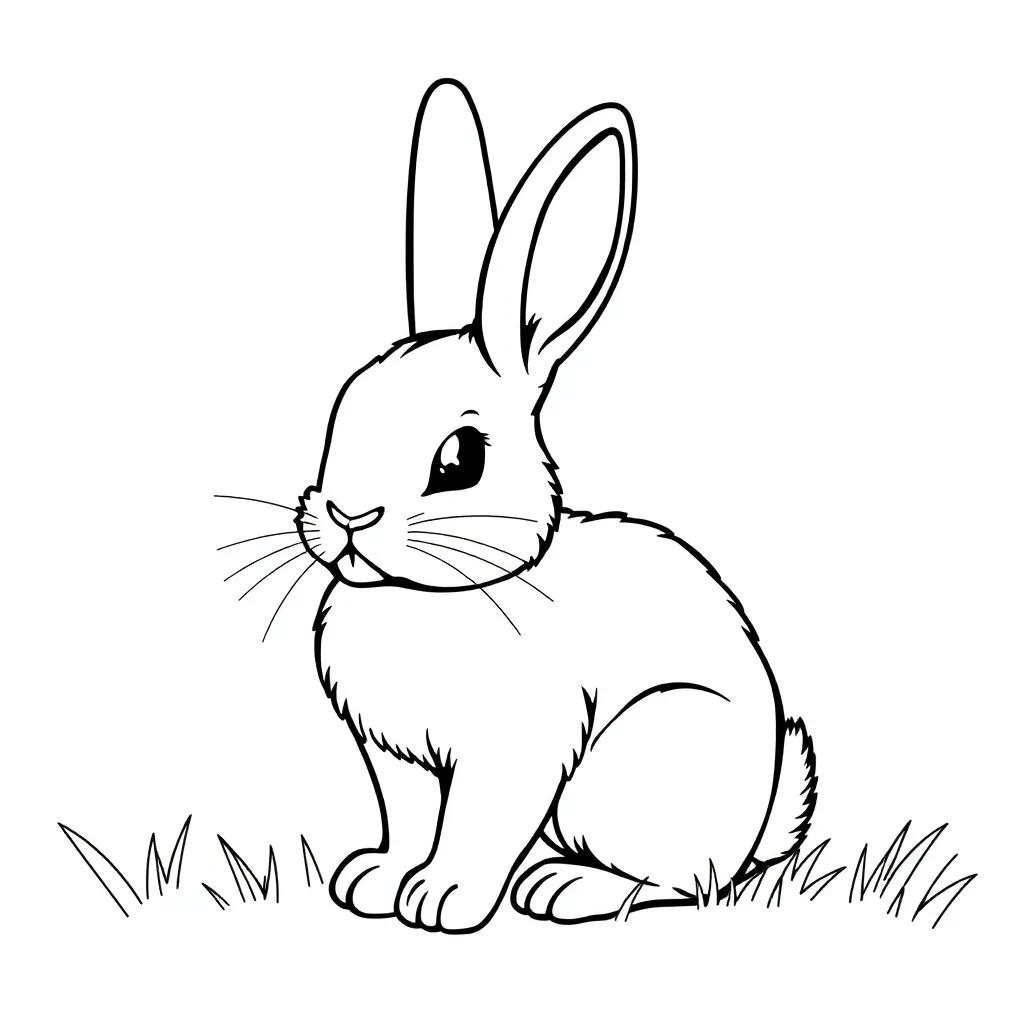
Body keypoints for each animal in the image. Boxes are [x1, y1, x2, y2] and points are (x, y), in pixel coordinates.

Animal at [297, 79, 817, 933]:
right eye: (342, 414)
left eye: (459, 459)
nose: (345, 517)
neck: (431, 596)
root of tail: (753, 829)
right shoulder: (399, 759)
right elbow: (409, 823)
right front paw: (374, 883)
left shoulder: (514, 753)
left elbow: (476, 828)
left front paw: (442, 900)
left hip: (634, 768)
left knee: (678, 880)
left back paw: (568, 889)